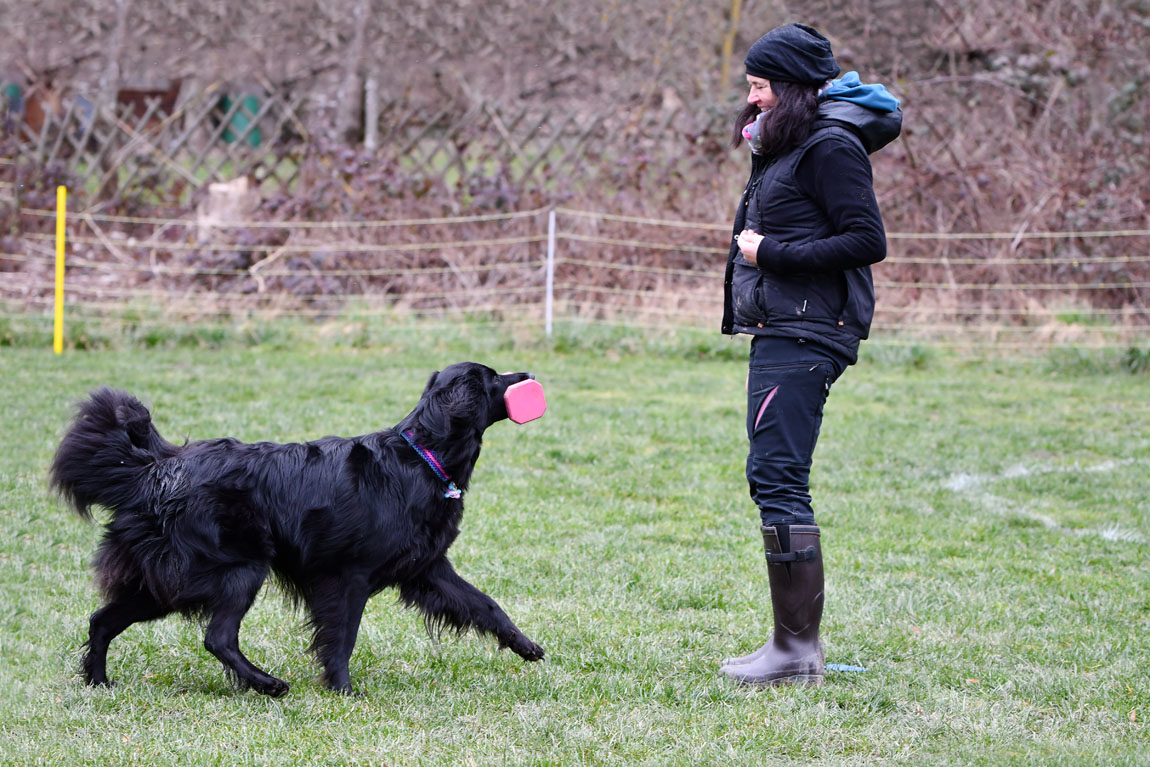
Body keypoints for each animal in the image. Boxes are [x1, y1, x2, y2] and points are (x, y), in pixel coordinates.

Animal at [49, 363, 542, 699]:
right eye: (493, 379)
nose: (529, 374)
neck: (423, 455)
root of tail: (156, 470)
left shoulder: (429, 569)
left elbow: (486, 605)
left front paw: (526, 646)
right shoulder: (347, 578)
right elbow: (342, 639)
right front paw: (343, 691)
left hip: (168, 584)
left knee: (102, 620)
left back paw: (98, 682)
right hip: (237, 570)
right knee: (218, 638)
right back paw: (267, 684)